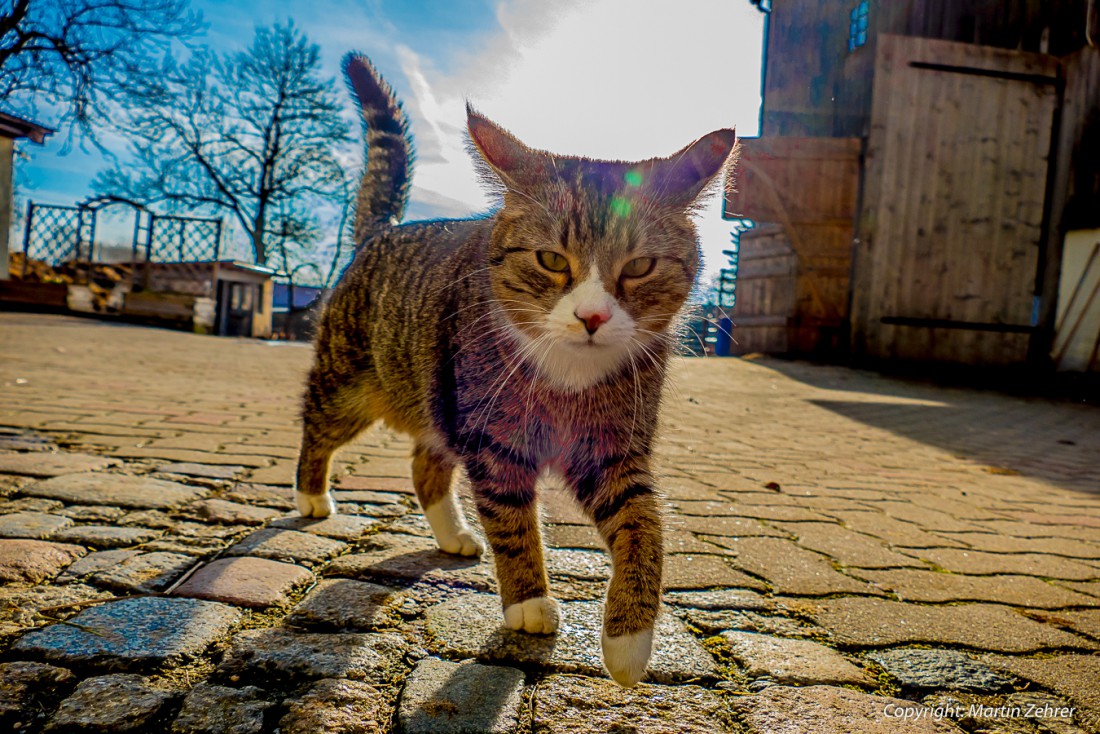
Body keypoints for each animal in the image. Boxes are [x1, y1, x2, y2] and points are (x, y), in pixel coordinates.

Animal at [297, 53, 734, 691]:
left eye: (640, 266)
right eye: (551, 259)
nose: (592, 315)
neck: (568, 376)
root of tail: (383, 232)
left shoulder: (613, 448)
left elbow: (643, 525)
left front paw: (629, 638)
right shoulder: (493, 440)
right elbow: (512, 521)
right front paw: (528, 599)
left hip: (441, 400)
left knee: (426, 463)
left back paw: (452, 534)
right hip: (355, 381)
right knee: (318, 423)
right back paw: (311, 494)